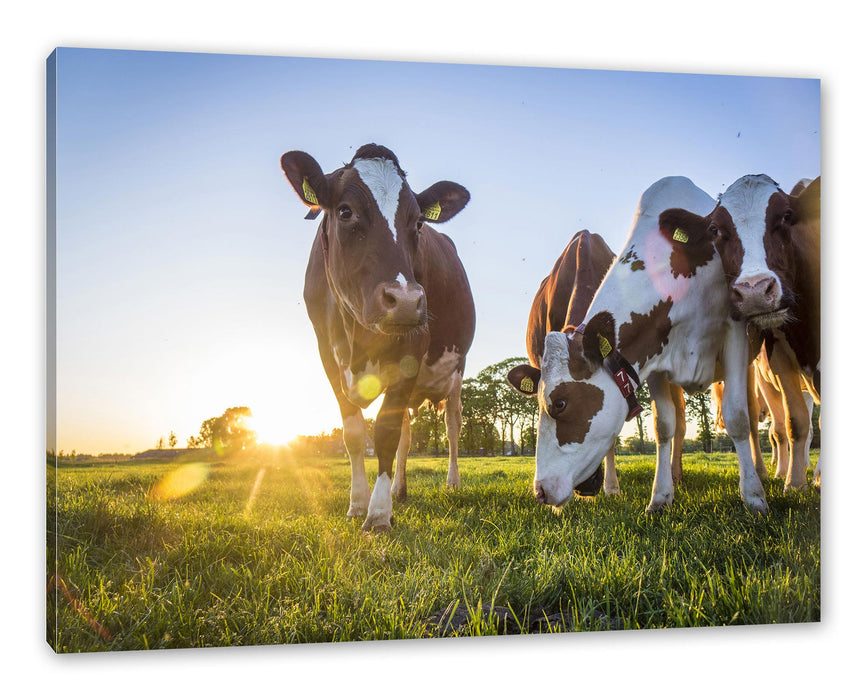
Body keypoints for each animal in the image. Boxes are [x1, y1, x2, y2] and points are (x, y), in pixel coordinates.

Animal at [280, 144, 472, 532]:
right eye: (345, 211)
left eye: (418, 222)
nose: (407, 301)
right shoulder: (327, 355)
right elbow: (354, 433)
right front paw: (358, 504)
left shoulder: (412, 349)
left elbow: (384, 432)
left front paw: (379, 513)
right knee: (408, 433)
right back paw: (399, 489)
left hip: (457, 371)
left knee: (452, 426)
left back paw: (452, 482)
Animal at [672, 178, 820, 490]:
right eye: (715, 230)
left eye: (786, 216)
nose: (754, 291)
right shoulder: (778, 362)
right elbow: (791, 424)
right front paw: (792, 482)